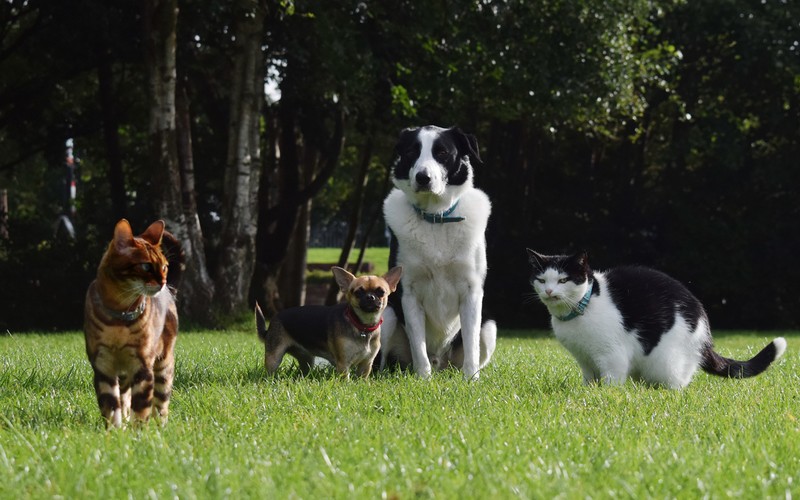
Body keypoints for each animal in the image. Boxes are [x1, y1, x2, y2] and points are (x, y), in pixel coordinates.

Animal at [85, 217, 184, 428]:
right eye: (146, 266)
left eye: (164, 266)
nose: (163, 281)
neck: (119, 318)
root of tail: (170, 291)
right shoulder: (103, 366)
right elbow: (110, 406)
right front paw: (115, 431)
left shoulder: (143, 366)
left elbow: (142, 407)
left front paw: (138, 432)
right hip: (123, 375)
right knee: (125, 397)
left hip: (163, 365)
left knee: (161, 404)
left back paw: (160, 427)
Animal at [528, 249, 784, 386]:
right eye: (541, 280)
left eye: (563, 280)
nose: (549, 291)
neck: (584, 306)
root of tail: (706, 337)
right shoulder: (585, 360)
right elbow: (589, 380)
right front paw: (588, 392)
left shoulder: (612, 356)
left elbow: (611, 382)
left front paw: (605, 396)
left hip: (666, 361)